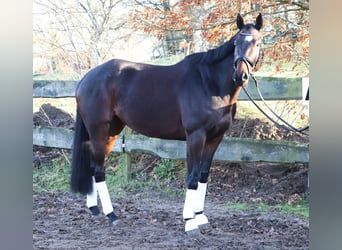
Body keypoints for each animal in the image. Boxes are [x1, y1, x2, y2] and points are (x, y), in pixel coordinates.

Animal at [71, 14, 264, 234]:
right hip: (99, 131)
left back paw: (95, 209)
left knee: (93, 166)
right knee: (98, 170)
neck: (210, 83)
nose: (240, 75)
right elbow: (192, 177)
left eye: (257, 42)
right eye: (236, 43)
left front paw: (200, 216)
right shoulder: (196, 136)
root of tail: (85, 78)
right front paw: (189, 222)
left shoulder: (215, 138)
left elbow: (203, 175)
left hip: (111, 132)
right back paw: (112, 215)